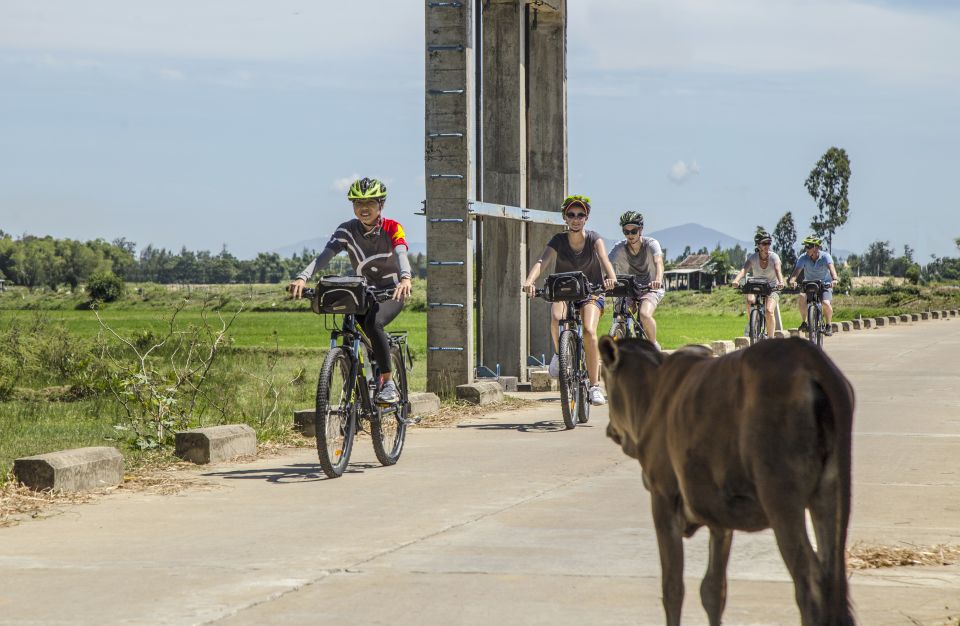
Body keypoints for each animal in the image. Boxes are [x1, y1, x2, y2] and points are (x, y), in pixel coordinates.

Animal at [600, 336, 856, 624]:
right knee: (832, 579)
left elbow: (672, 588)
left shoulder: (663, 496)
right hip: (830, 489)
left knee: (810, 582)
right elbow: (713, 589)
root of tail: (807, 356)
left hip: (781, 497)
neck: (653, 392)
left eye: (605, 378)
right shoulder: (717, 510)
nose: (610, 429)